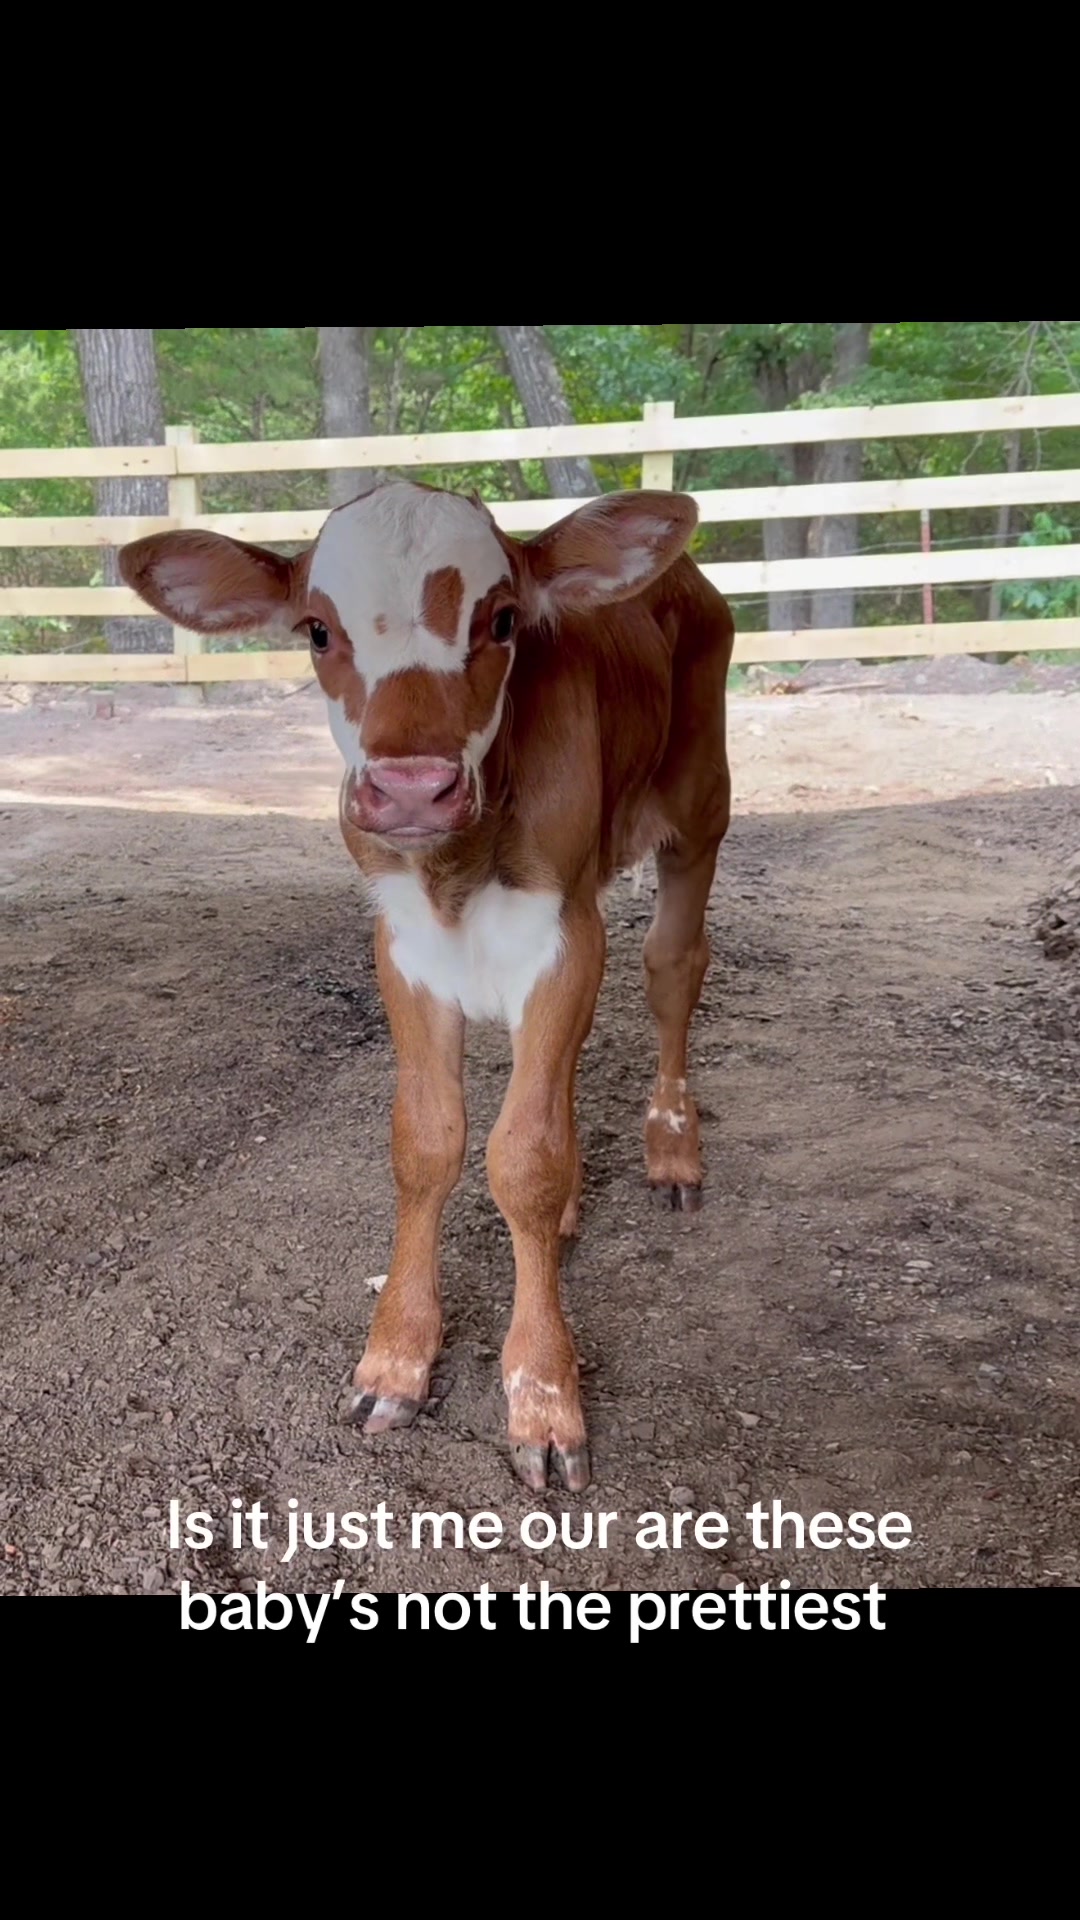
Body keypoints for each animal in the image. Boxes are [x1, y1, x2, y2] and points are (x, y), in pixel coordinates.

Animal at [121, 482, 733, 1492]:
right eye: (317, 630)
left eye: (503, 619)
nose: (411, 788)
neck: (460, 865)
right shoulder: (403, 948)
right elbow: (428, 1142)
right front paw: (396, 1357)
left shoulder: (564, 937)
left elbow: (523, 1157)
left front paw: (545, 1395)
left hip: (700, 807)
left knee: (671, 969)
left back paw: (673, 1149)